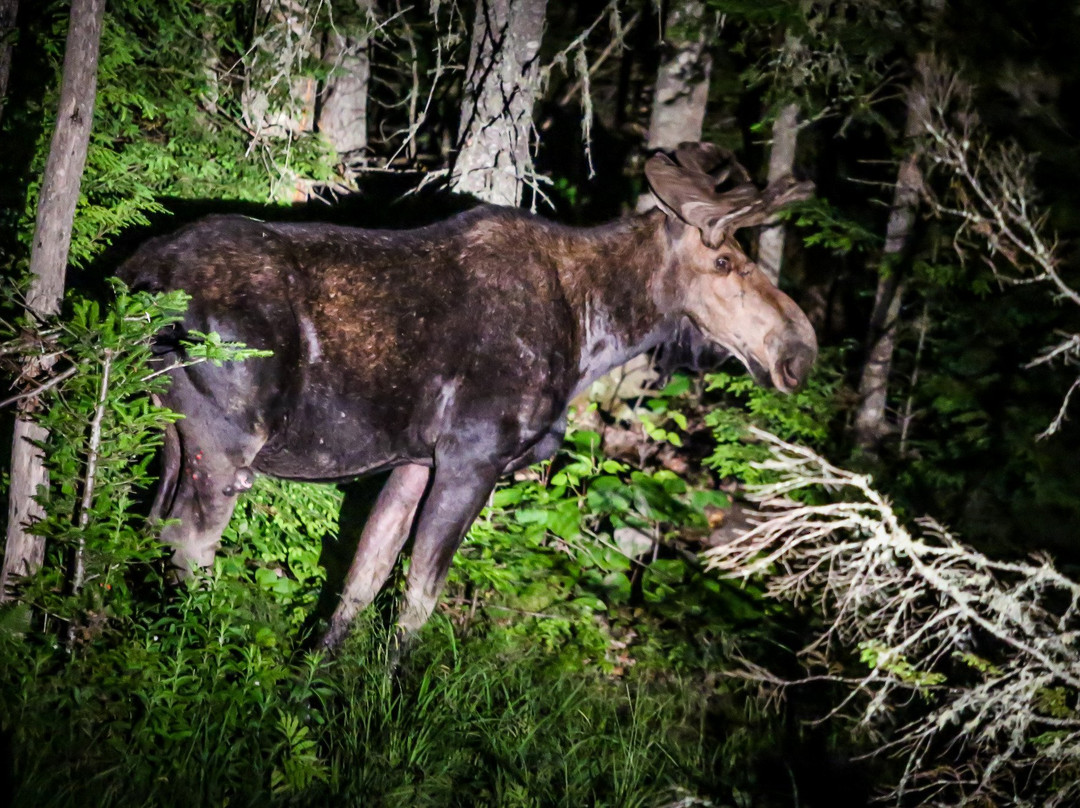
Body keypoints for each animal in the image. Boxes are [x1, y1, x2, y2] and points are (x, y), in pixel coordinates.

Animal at [118, 142, 817, 648]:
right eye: (725, 262)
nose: (799, 353)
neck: (593, 332)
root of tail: (136, 277)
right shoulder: (472, 458)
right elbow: (418, 602)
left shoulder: (412, 462)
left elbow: (361, 583)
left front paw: (314, 681)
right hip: (225, 440)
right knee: (190, 544)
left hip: (164, 427)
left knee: (145, 526)